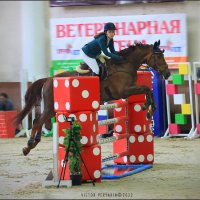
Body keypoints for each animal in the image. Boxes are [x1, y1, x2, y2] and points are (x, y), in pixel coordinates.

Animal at [15, 40, 170, 156]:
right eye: (158, 57)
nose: (168, 73)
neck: (124, 66)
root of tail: (48, 79)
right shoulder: (123, 92)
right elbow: (146, 88)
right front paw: (149, 109)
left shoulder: (128, 89)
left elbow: (147, 90)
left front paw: (148, 108)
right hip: (50, 107)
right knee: (37, 121)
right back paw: (29, 145)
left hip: (53, 109)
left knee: (39, 121)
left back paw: (33, 143)